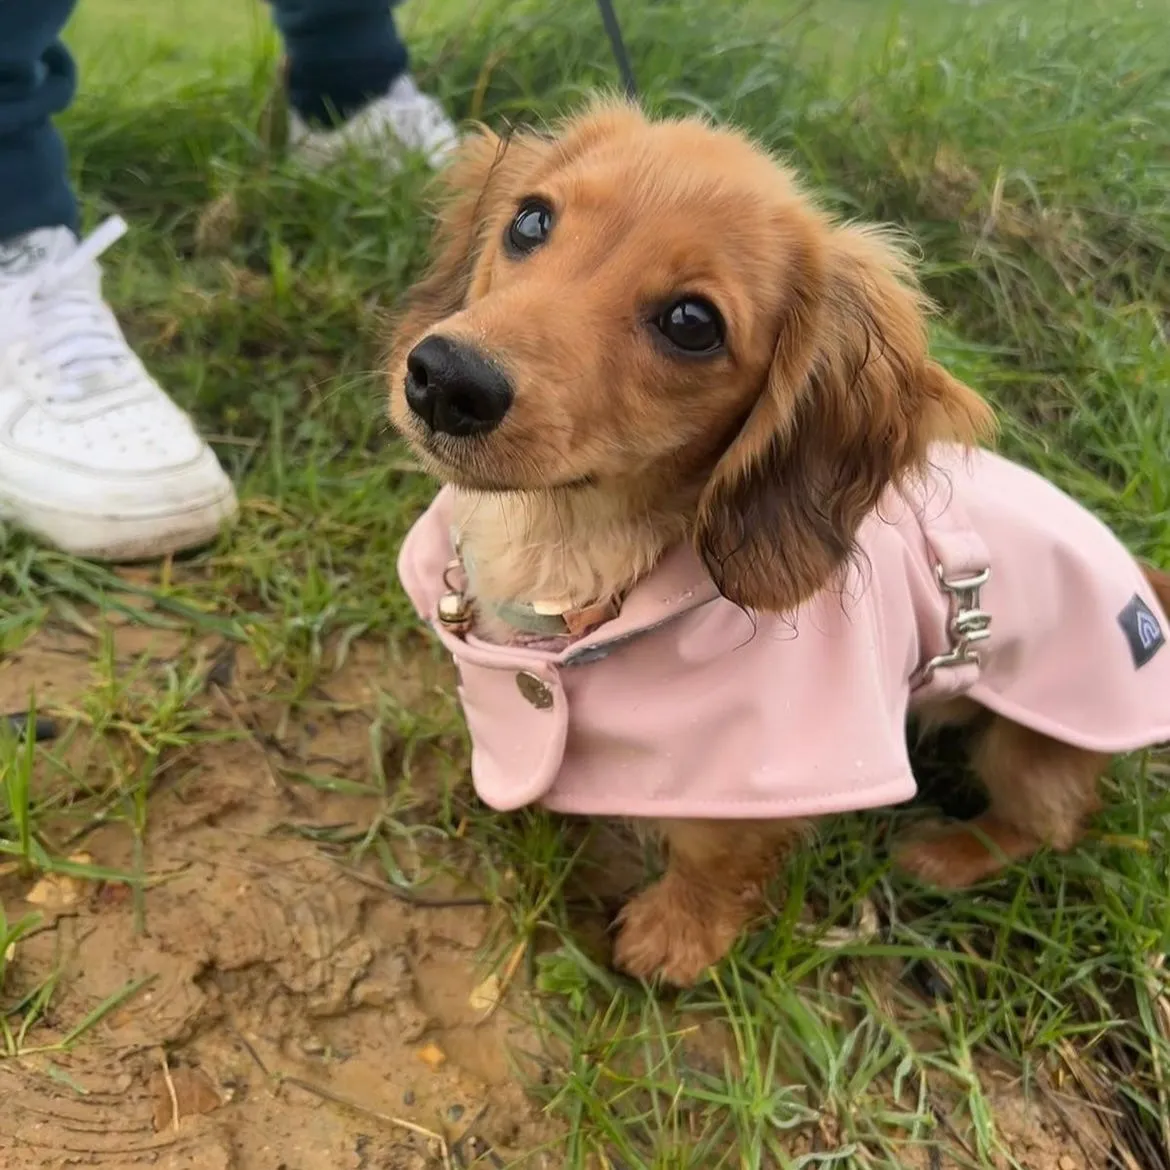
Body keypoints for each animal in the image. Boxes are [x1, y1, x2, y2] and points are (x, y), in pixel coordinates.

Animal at [388, 100, 1170, 982]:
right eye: (530, 221)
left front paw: (677, 936)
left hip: (1037, 743)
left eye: (692, 323)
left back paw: (950, 853)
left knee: (1054, 823)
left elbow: (716, 851)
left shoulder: (781, 763)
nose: (446, 379)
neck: (566, 545)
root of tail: (1142, 578)